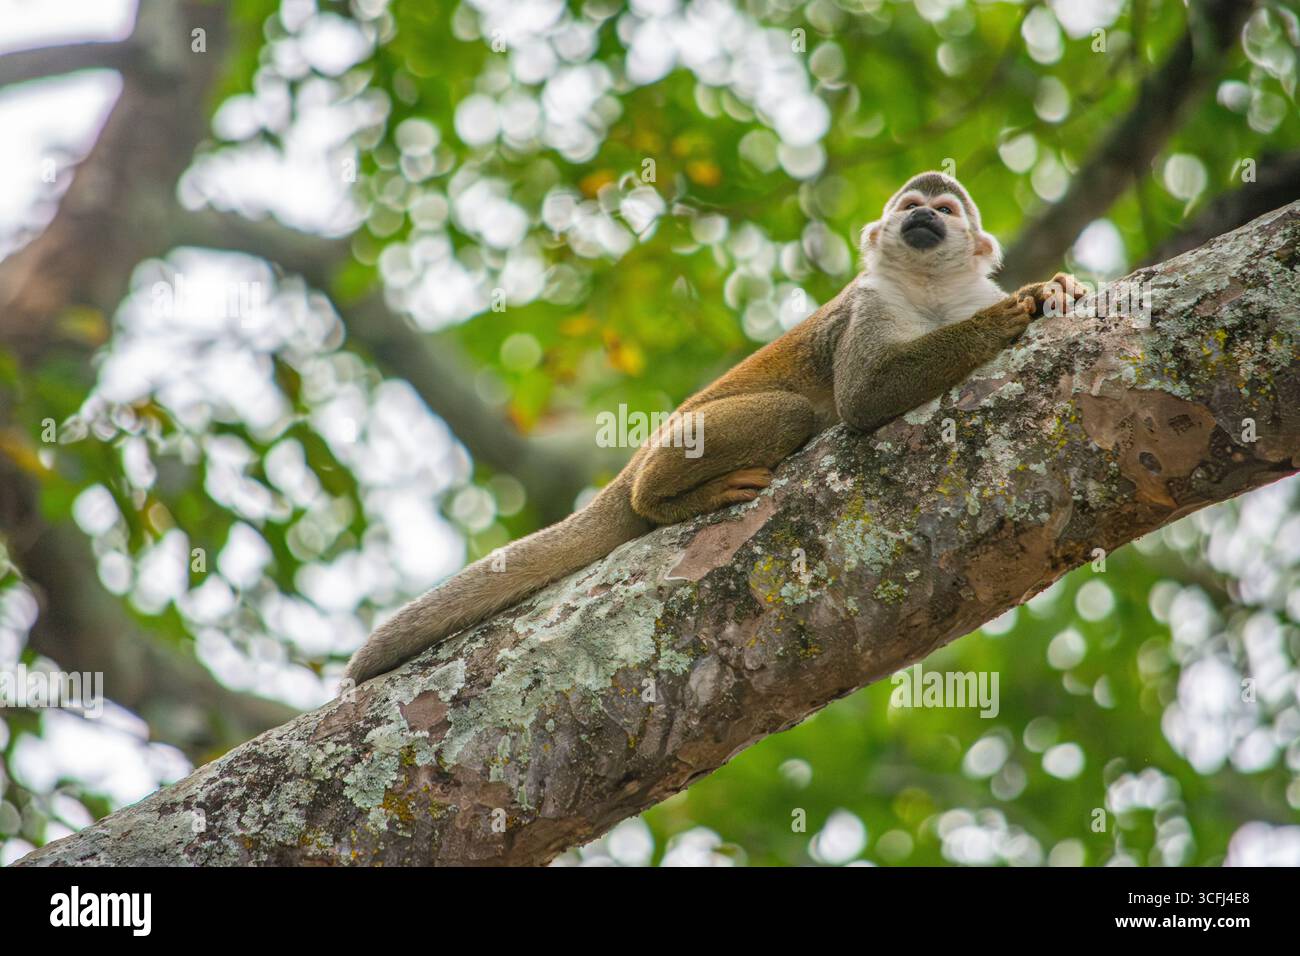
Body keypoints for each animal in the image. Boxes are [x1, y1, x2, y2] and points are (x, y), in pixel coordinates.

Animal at [343, 171, 1084, 685]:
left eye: (945, 211)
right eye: (910, 208)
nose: (925, 216)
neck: (930, 292)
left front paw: (1055, 290)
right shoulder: (864, 303)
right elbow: (863, 397)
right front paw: (1013, 312)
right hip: (682, 434)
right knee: (787, 414)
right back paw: (663, 500)